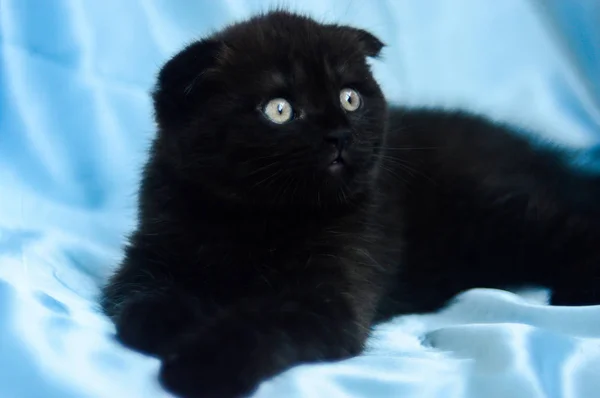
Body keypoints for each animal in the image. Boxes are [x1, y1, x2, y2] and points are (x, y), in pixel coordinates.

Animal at [101, 8, 600, 398]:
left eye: (350, 98)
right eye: (279, 109)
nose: (340, 134)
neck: (257, 219)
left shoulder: (331, 294)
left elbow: (262, 323)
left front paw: (203, 365)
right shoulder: (150, 250)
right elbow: (141, 299)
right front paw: (181, 323)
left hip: (501, 208)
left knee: (572, 222)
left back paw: (576, 291)